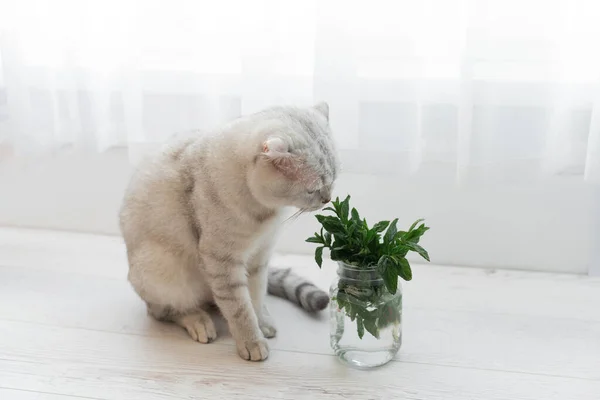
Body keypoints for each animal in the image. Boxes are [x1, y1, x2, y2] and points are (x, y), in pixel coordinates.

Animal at [119, 101, 340, 360]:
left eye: (333, 181)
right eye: (312, 189)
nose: (327, 199)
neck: (265, 214)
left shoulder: (260, 257)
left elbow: (256, 295)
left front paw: (262, 322)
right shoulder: (222, 262)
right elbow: (239, 308)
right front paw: (252, 341)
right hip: (161, 272)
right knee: (163, 311)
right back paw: (198, 320)